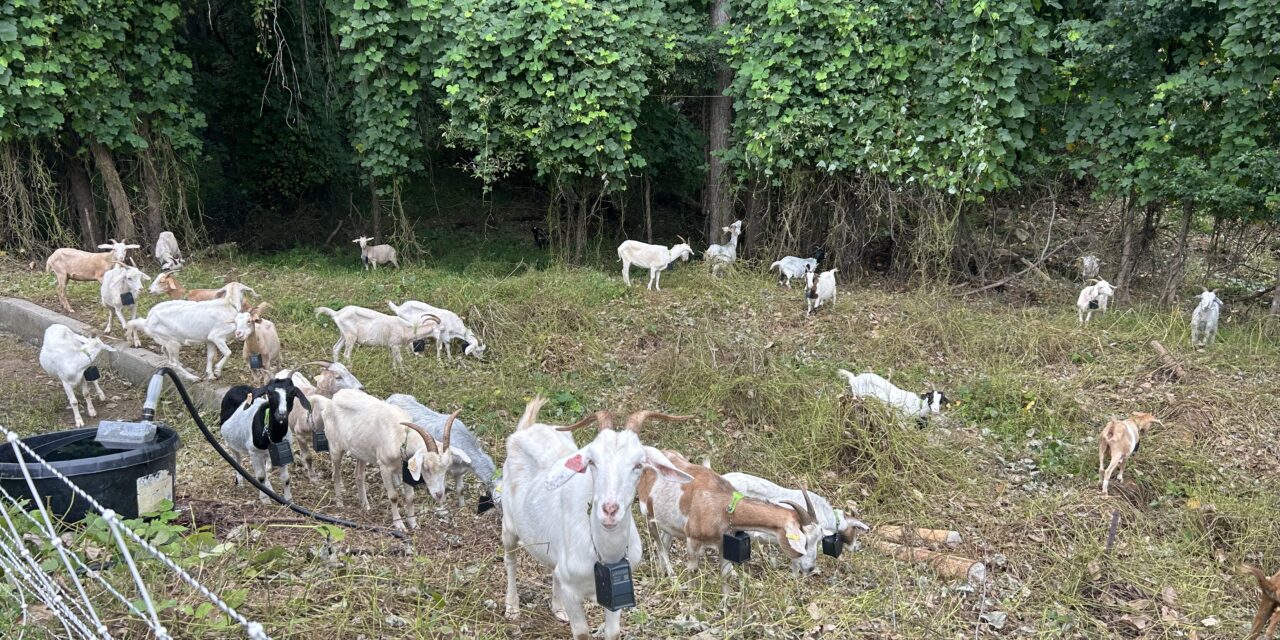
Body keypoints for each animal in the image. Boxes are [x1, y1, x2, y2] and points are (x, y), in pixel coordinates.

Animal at [125, 283, 257, 381]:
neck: (228, 304)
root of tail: (147, 320)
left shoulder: (209, 339)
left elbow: (210, 356)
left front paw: (210, 375)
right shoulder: (217, 336)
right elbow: (228, 352)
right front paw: (218, 371)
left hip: (166, 339)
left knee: (166, 353)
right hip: (173, 343)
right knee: (174, 362)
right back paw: (193, 377)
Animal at [219, 375, 312, 503]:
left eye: (292, 393)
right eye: (270, 393)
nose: (281, 414)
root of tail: (237, 387)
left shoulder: (283, 452)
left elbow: (285, 478)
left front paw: (288, 500)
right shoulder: (254, 451)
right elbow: (260, 477)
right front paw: (265, 499)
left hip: (264, 453)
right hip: (231, 443)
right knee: (237, 460)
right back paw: (240, 482)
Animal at [321, 389, 460, 529]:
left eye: (446, 468)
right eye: (426, 467)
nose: (439, 494)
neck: (401, 437)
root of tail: (334, 398)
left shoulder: (405, 469)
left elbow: (410, 497)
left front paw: (413, 523)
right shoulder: (385, 467)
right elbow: (393, 497)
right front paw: (399, 525)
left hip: (361, 451)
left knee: (359, 476)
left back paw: (366, 505)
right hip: (335, 446)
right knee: (336, 474)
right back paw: (340, 503)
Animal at [501, 399, 692, 639]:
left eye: (639, 465)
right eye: (591, 461)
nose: (609, 510)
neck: (604, 554)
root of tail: (528, 428)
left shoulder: (616, 592)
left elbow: (612, 632)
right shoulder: (572, 592)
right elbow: (582, 633)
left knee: (554, 571)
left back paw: (558, 608)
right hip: (508, 525)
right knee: (510, 560)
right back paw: (512, 607)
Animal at [638, 449, 821, 585]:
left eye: (817, 539)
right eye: (804, 541)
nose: (811, 568)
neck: (722, 503)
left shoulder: (723, 543)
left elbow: (725, 573)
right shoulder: (692, 540)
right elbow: (693, 572)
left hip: (667, 522)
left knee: (664, 541)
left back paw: (663, 573)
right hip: (648, 515)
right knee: (659, 544)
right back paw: (672, 576)